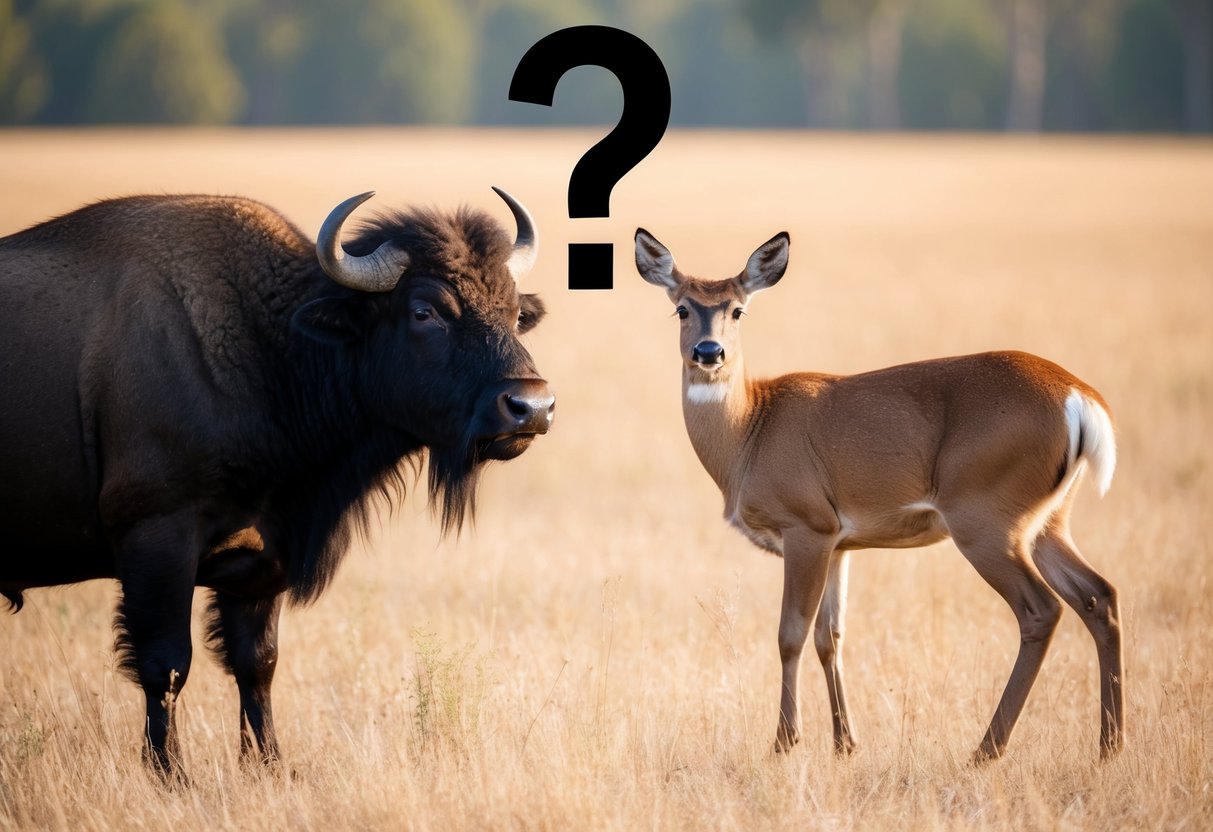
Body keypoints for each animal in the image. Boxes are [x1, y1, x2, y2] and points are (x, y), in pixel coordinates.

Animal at [0, 188, 554, 778]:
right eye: (425, 311)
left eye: (515, 311)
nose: (531, 406)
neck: (272, 349)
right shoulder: (157, 542)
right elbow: (165, 665)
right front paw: (172, 777)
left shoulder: (260, 567)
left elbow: (257, 664)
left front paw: (269, 766)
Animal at [634, 227, 1123, 762]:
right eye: (682, 308)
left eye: (739, 309)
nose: (708, 352)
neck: (750, 432)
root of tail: (1080, 397)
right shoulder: (840, 542)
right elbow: (831, 636)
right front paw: (844, 742)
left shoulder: (806, 526)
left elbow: (791, 634)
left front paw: (784, 742)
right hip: (1049, 520)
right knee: (1099, 595)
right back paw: (1109, 745)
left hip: (986, 519)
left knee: (1042, 609)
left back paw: (986, 751)